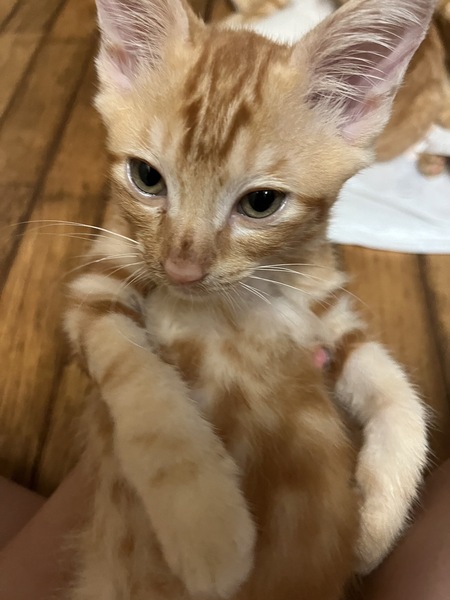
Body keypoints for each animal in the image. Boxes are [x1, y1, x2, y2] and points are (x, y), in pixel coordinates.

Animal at [65, 0, 433, 598]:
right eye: (146, 177)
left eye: (261, 203)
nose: (182, 269)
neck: (234, 302)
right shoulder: (97, 285)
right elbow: (141, 380)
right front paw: (205, 522)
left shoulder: (327, 312)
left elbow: (403, 399)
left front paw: (376, 527)